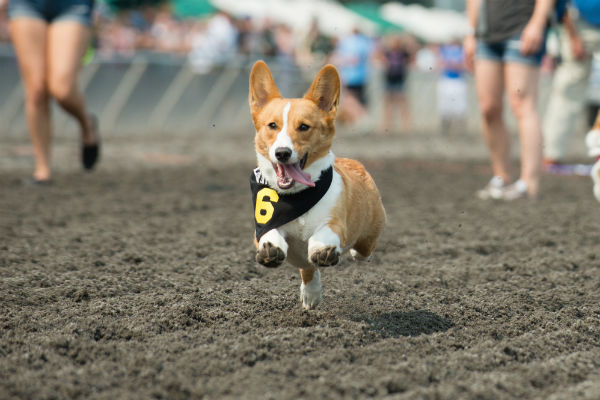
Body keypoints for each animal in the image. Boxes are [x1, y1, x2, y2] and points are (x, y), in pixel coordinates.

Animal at [247, 60, 384, 310]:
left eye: (304, 127)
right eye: (272, 125)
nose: (282, 153)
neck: (296, 196)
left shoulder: (336, 223)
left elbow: (325, 234)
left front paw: (323, 249)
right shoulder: (262, 224)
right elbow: (269, 232)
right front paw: (271, 249)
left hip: (369, 236)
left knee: (362, 251)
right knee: (308, 269)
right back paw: (311, 295)